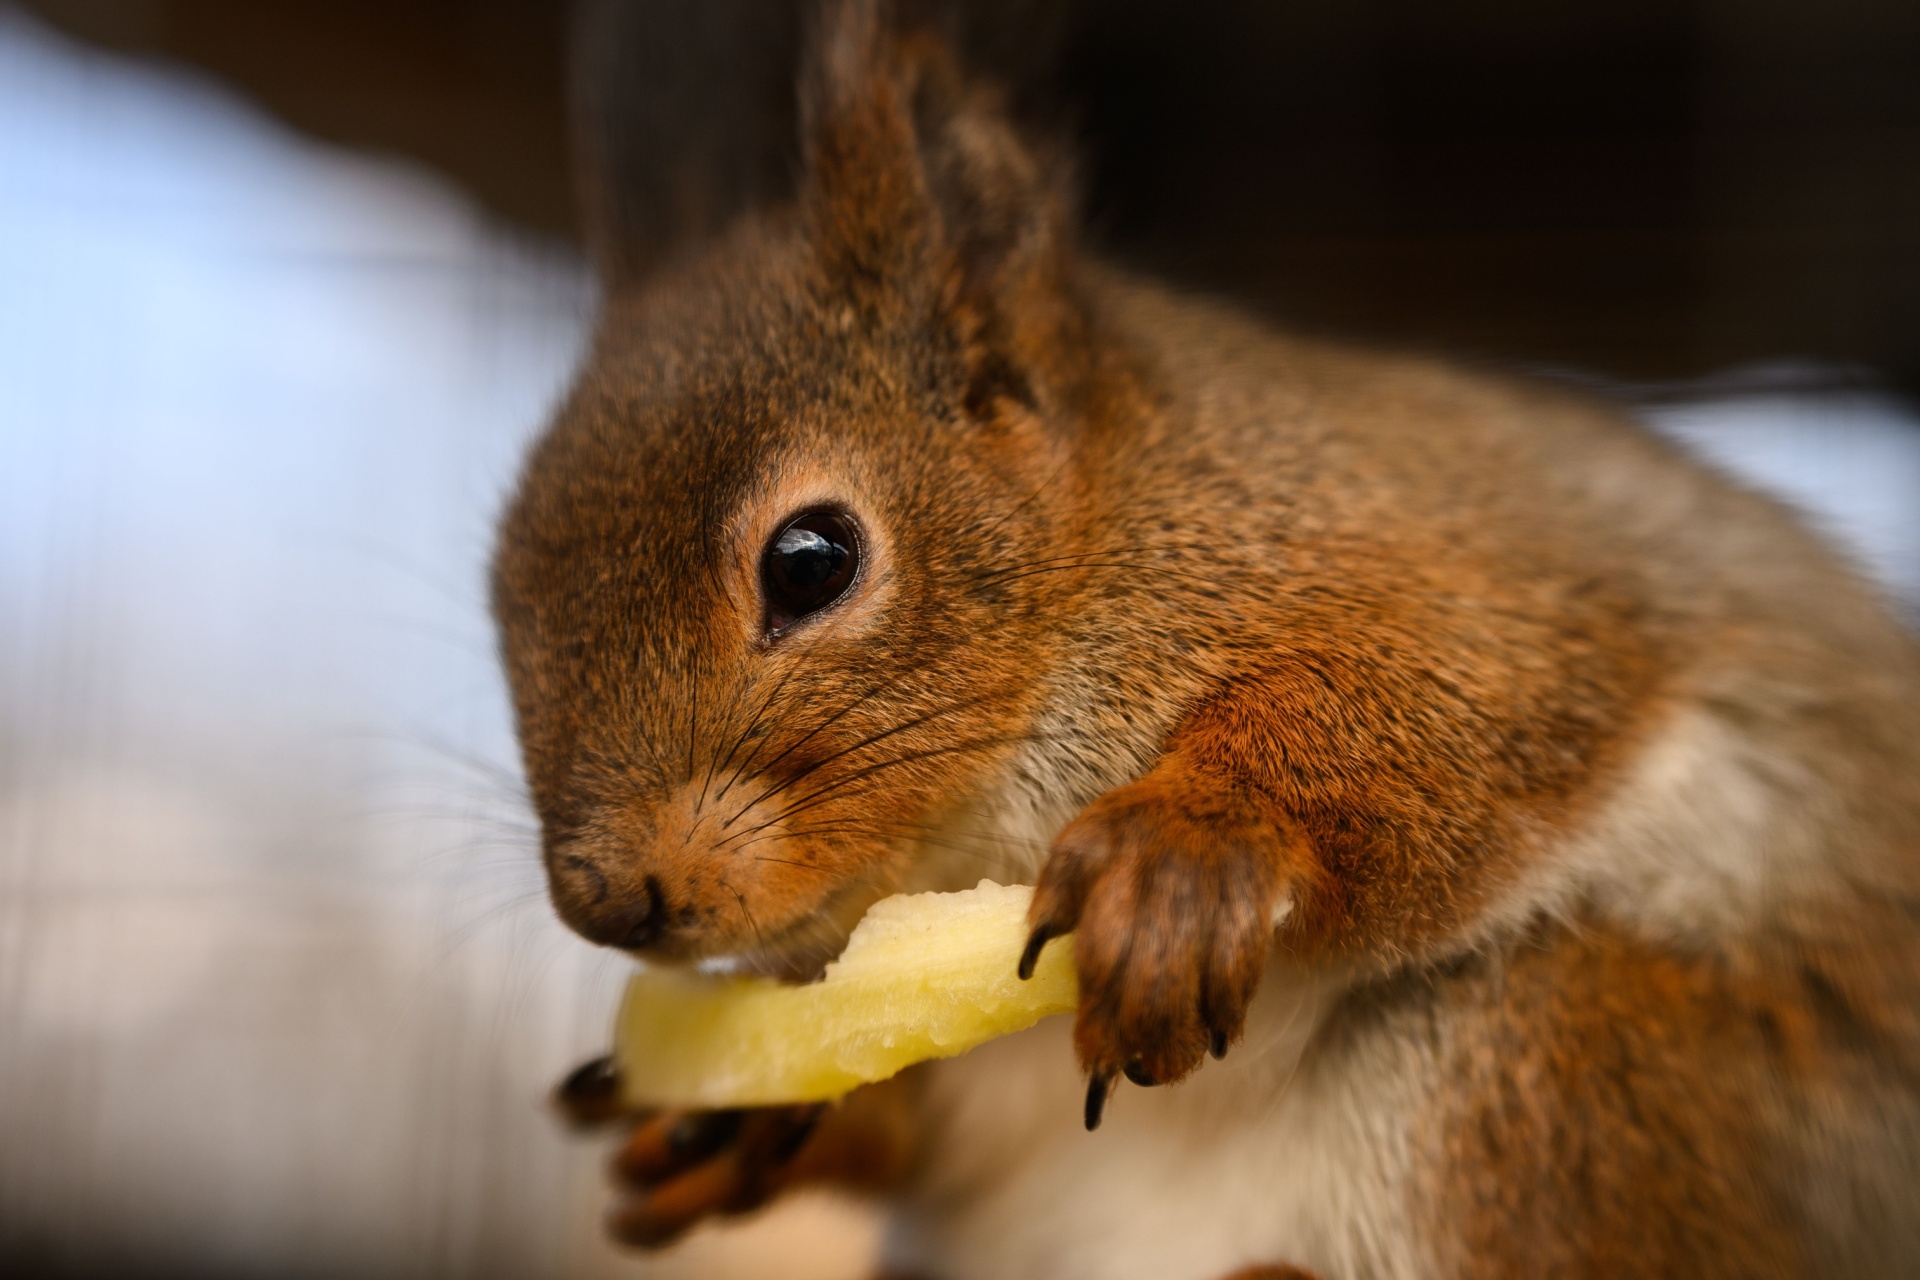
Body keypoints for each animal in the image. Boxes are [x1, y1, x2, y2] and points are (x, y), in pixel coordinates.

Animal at [492, 2, 1920, 1276]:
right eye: (500, 588)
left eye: (812, 559)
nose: (610, 900)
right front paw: (754, 1121)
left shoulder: (1475, 569)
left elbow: (1434, 707)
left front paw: (1191, 845)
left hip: (1561, 1051)